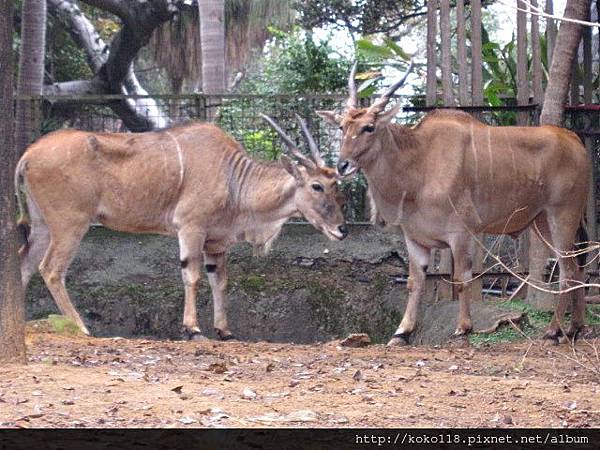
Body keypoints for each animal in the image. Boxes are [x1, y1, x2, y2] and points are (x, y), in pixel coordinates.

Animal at [15, 114, 346, 340]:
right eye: (317, 186)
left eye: (336, 185)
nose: (342, 229)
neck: (233, 176)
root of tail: (28, 155)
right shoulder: (190, 228)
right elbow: (192, 275)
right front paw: (193, 328)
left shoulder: (216, 242)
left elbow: (219, 281)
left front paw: (224, 330)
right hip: (70, 224)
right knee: (51, 269)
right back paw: (81, 327)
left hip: (43, 227)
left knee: (23, 266)